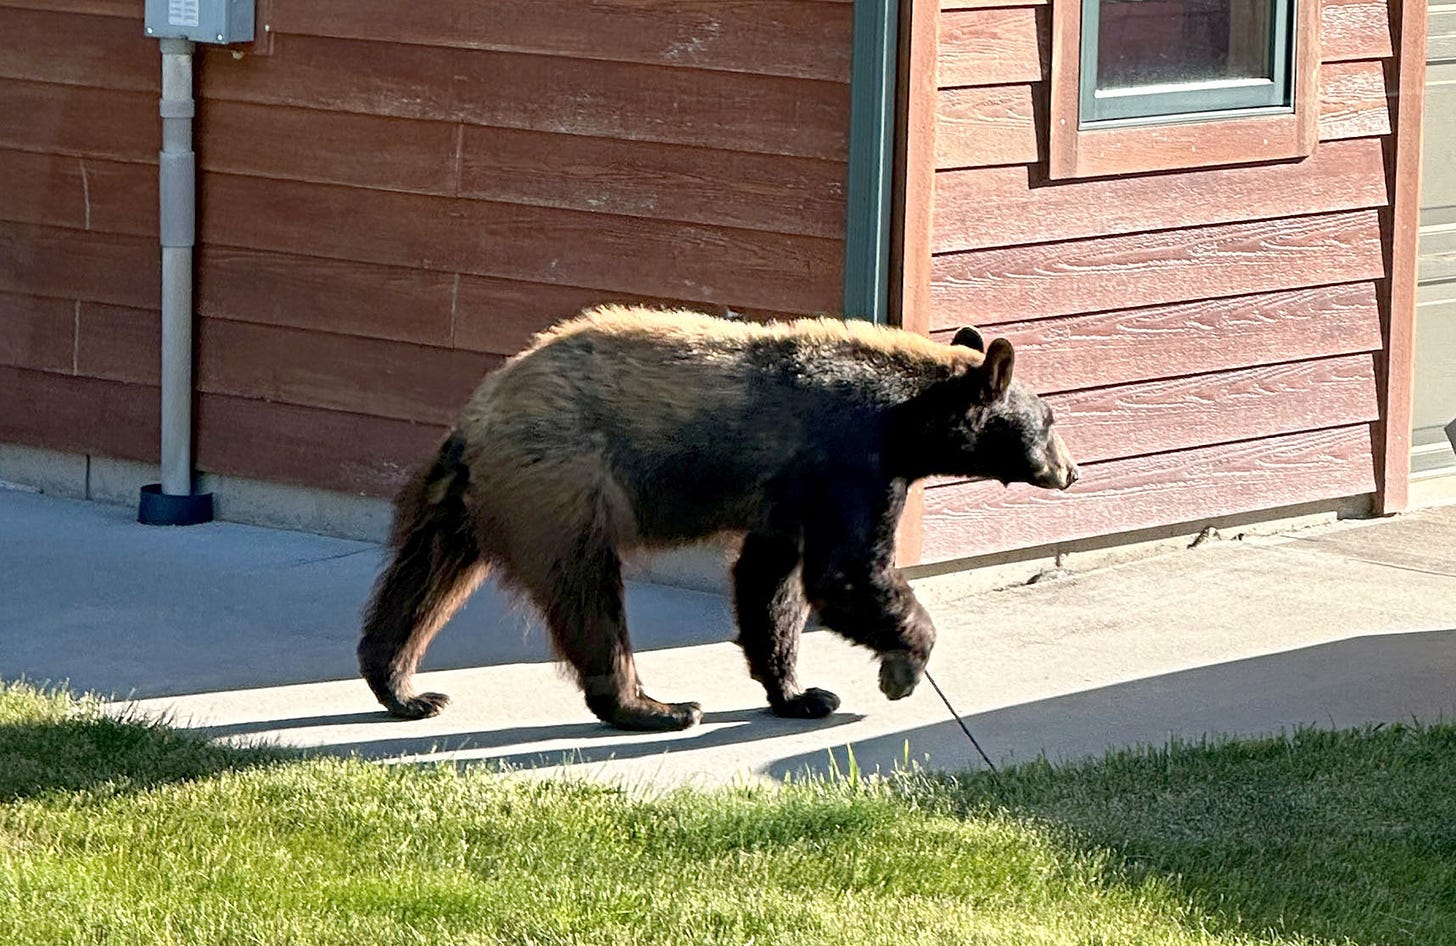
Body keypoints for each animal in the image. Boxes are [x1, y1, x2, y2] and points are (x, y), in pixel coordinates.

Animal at [358, 305, 1078, 731]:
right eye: (1049, 418)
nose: (1070, 469)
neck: (904, 417)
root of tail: (478, 419)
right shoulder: (847, 461)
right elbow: (847, 572)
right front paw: (900, 670)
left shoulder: (790, 493)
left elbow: (769, 581)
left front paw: (801, 692)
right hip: (562, 483)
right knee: (589, 596)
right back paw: (656, 706)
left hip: (462, 501)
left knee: (420, 581)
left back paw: (401, 686)